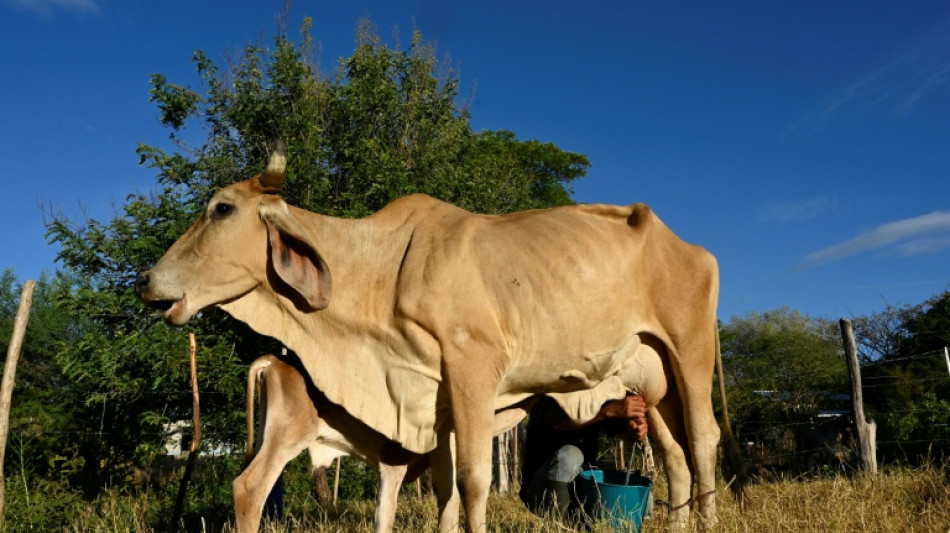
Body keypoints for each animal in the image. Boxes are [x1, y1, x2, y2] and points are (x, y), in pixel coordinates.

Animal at [137, 144, 740, 531]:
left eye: (222, 208)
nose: (145, 280)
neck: (384, 270)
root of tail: (693, 248)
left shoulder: (473, 367)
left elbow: (471, 481)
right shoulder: (438, 400)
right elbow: (446, 488)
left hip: (690, 351)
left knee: (704, 440)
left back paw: (708, 522)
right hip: (654, 383)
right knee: (675, 456)